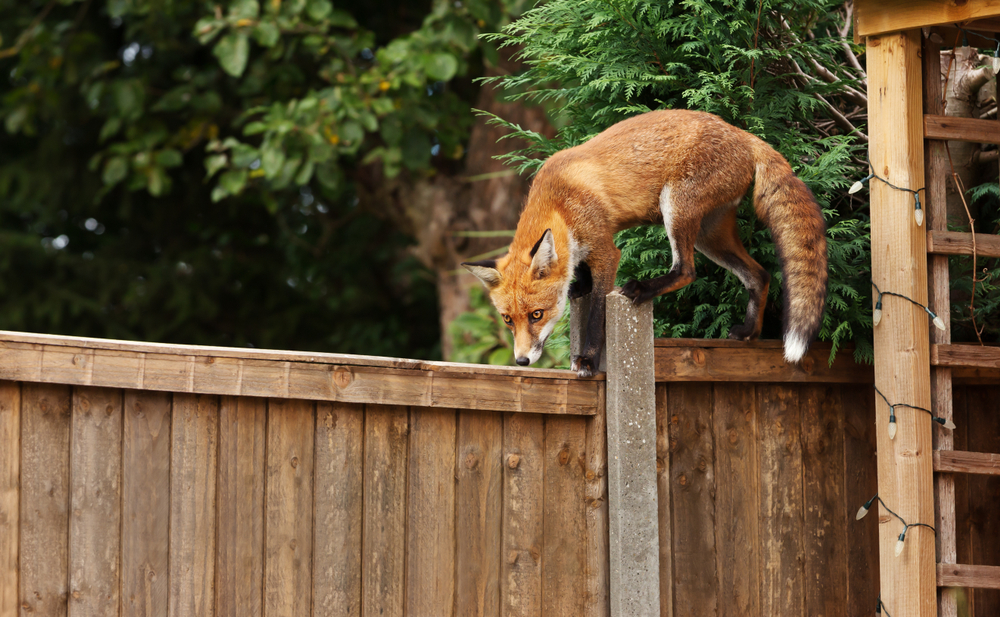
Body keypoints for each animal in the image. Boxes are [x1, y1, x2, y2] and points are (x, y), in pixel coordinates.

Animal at [460, 109, 828, 378]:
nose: (521, 361)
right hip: (711, 236)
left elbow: (596, 314)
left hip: (676, 209)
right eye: (508, 320)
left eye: (536, 314)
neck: (560, 203)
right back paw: (750, 331)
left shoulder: (607, 250)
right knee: (759, 275)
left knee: (687, 271)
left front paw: (588, 361)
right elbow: (580, 281)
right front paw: (579, 285)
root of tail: (742, 133)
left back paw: (642, 289)